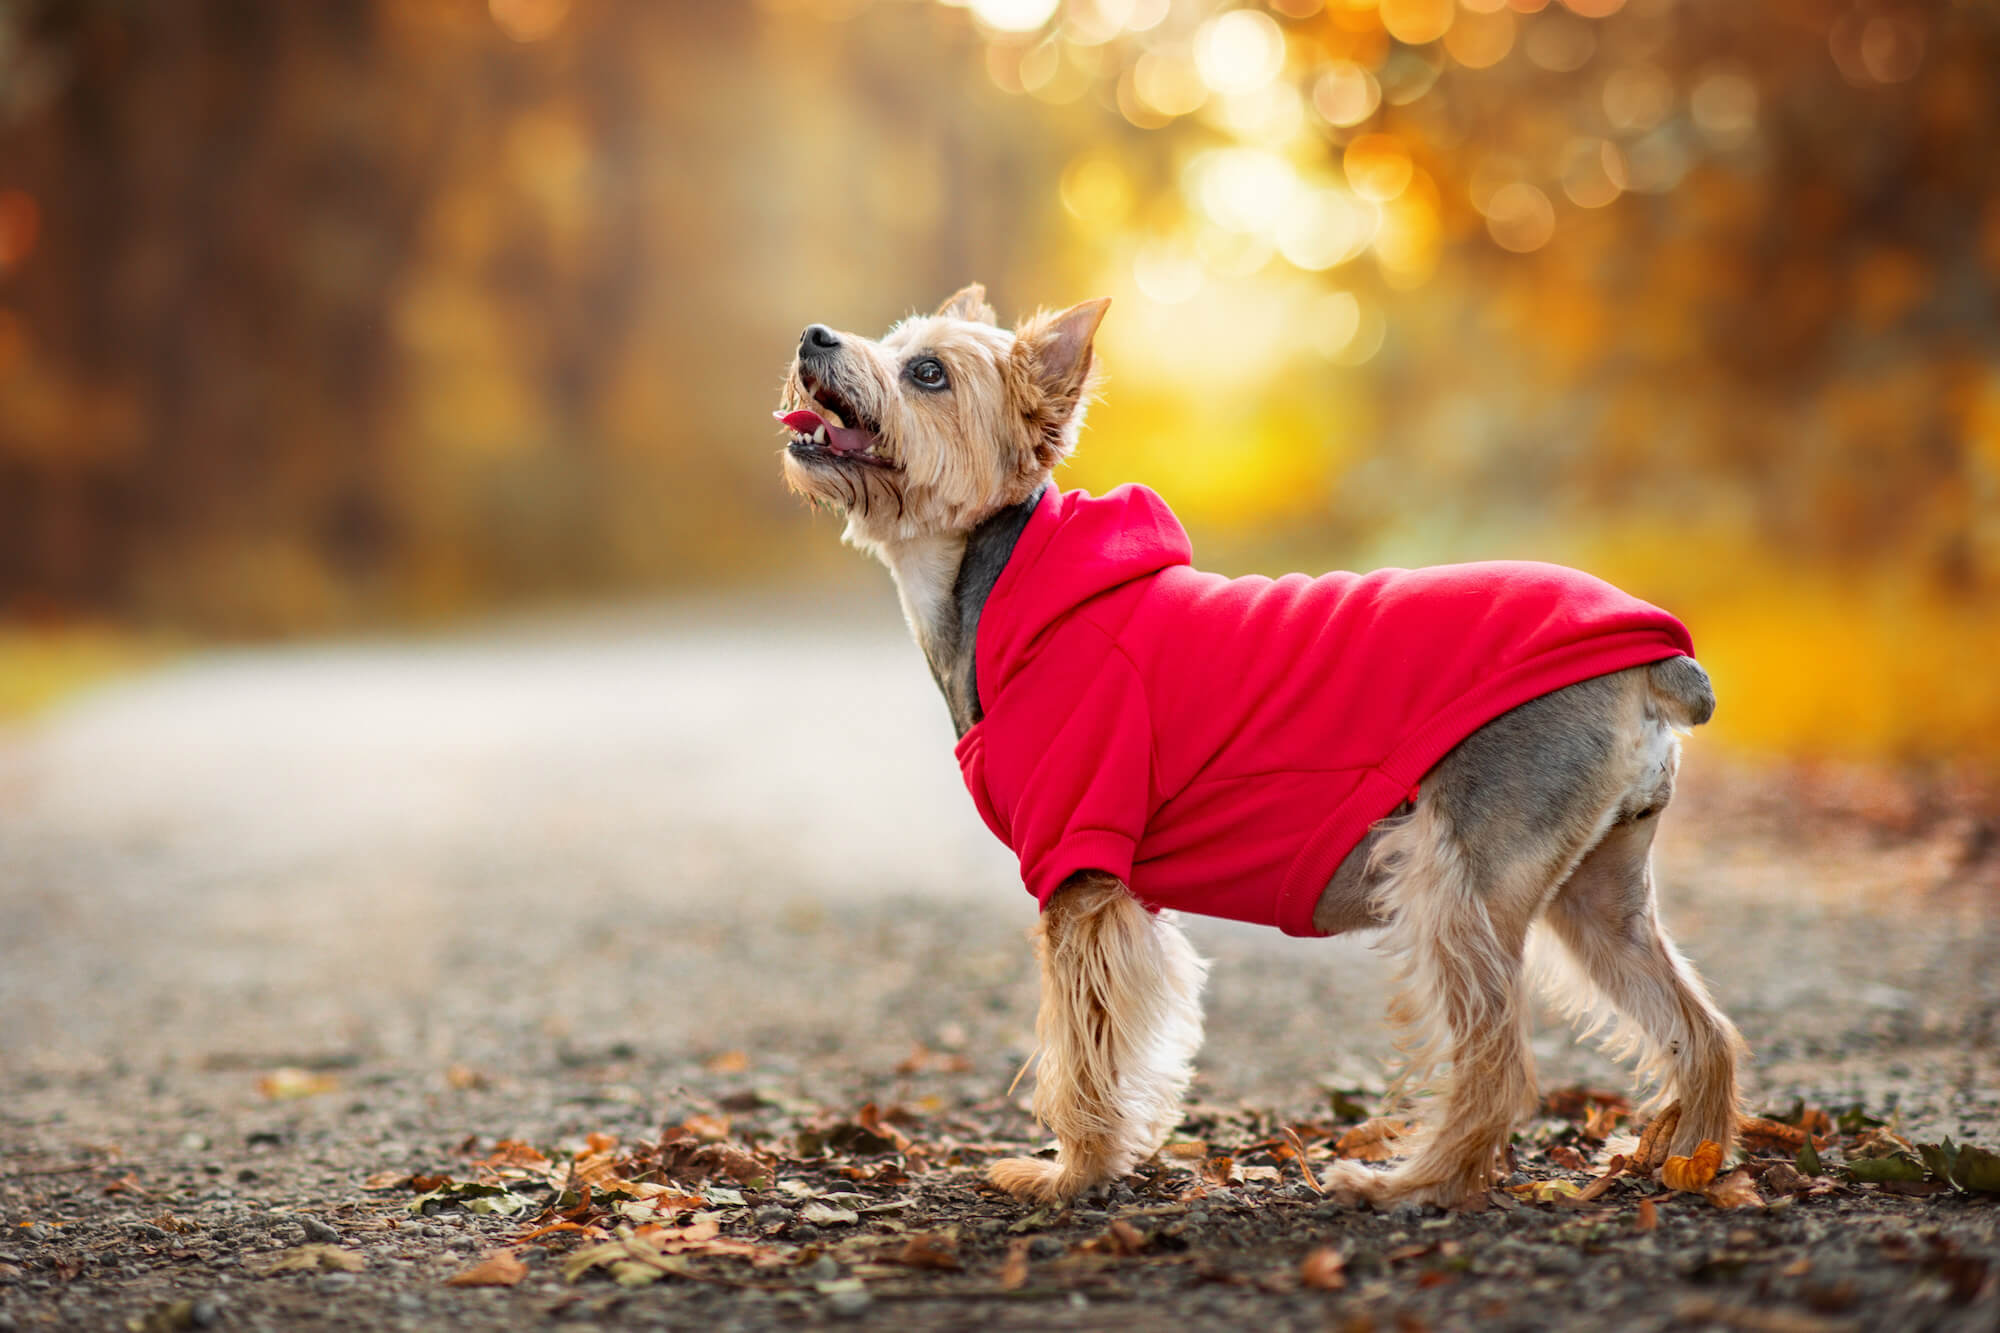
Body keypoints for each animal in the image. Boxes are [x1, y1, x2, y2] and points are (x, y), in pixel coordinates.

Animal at [772, 286, 1744, 1208]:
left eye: (927, 372)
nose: (813, 335)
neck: (998, 574)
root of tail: (1658, 662)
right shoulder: (1123, 899)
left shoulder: (1077, 874)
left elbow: (1081, 1053)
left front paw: (1073, 1175)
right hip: (1598, 897)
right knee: (1702, 1030)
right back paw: (1682, 1160)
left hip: (1455, 884)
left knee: (1496, 1067)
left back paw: (1415, 1183)